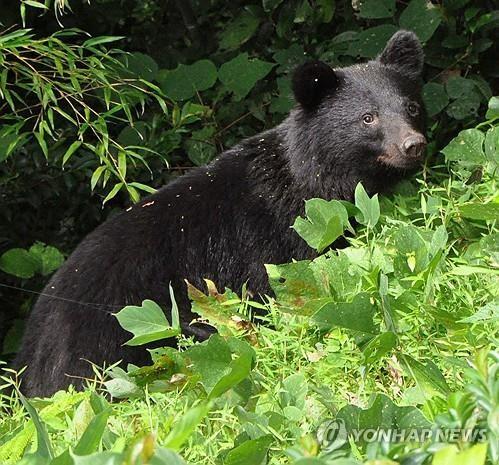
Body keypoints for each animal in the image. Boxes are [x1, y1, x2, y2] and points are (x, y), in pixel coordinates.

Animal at [13, 30, 426, 396]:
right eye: (368, 118)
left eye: (411, 107)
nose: (413, 144)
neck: (314, 180)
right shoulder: (270, 237)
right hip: (128, 335)